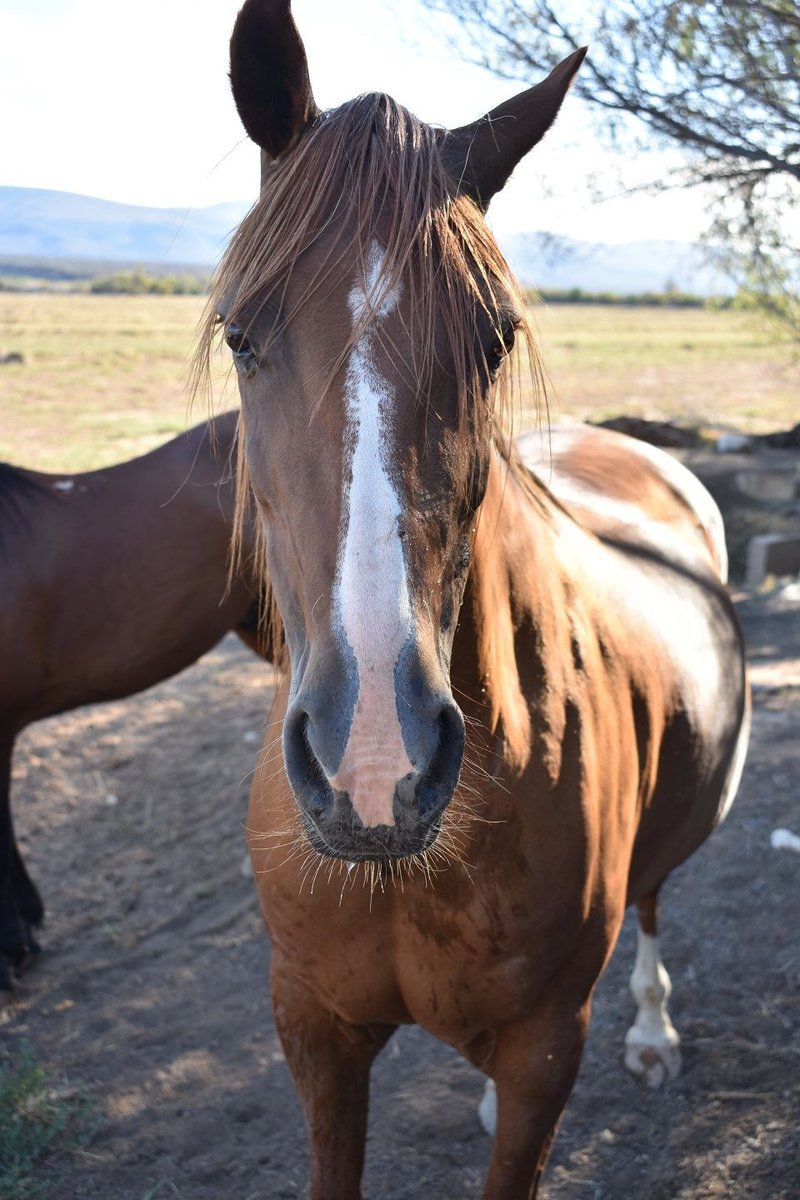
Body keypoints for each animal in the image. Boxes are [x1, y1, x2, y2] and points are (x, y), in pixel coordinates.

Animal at [206, 4, 753, 1195]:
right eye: (240, 333)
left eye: (494, 339)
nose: (374, 764)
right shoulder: (311, 1029)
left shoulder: (548, 1047)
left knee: (654, 901)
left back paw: (654, 1030)